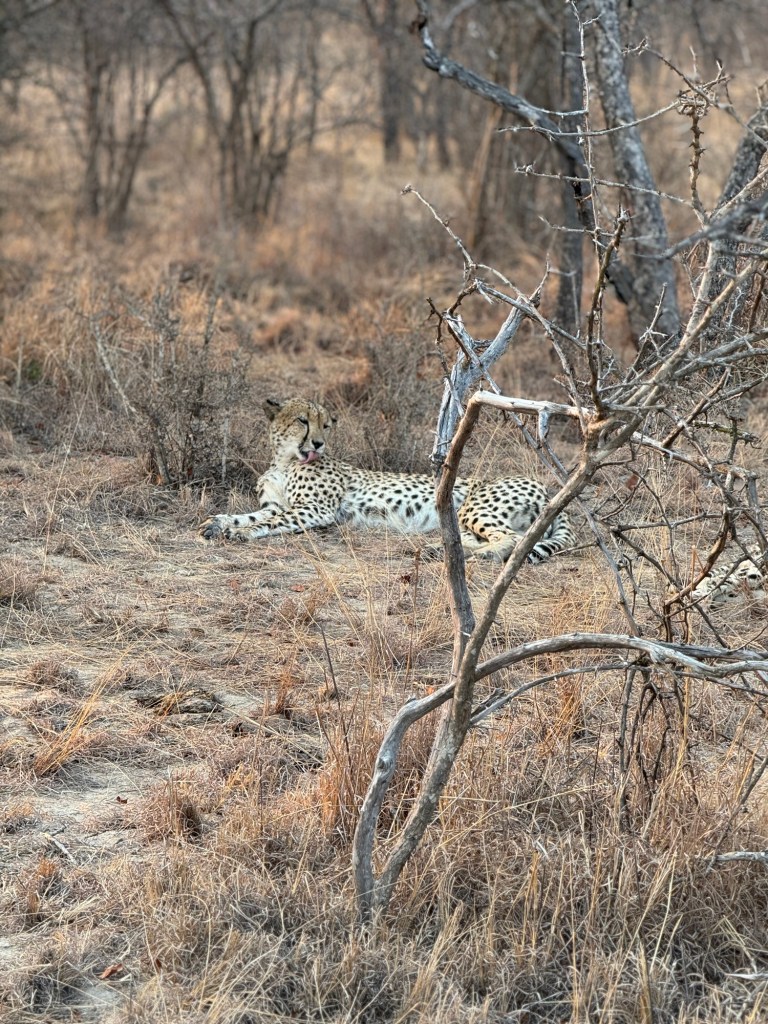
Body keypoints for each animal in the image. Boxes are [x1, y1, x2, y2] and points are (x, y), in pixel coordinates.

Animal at [198, 397, 576, 562]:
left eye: (326, 424)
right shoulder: (276, 503)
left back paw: (481, 555)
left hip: (476, 508)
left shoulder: (315, 510)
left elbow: (269, 522)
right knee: (483, 538)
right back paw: (437, 550)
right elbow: (253, 514)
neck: (286, 458)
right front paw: (217, 523)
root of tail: (549, 488)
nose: (318, 443)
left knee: (513, 538)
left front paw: (240, 532)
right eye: (303, 420)